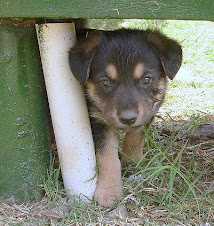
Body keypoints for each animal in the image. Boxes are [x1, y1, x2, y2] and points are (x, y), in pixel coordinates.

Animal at [69, 29, 182, 207]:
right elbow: (108, 157)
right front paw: (109, 191)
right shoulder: (98, 122)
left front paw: (132, 161)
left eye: (146, 79)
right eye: (106, 81)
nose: (128, 119)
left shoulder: (147, 112)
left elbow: (135, 138)